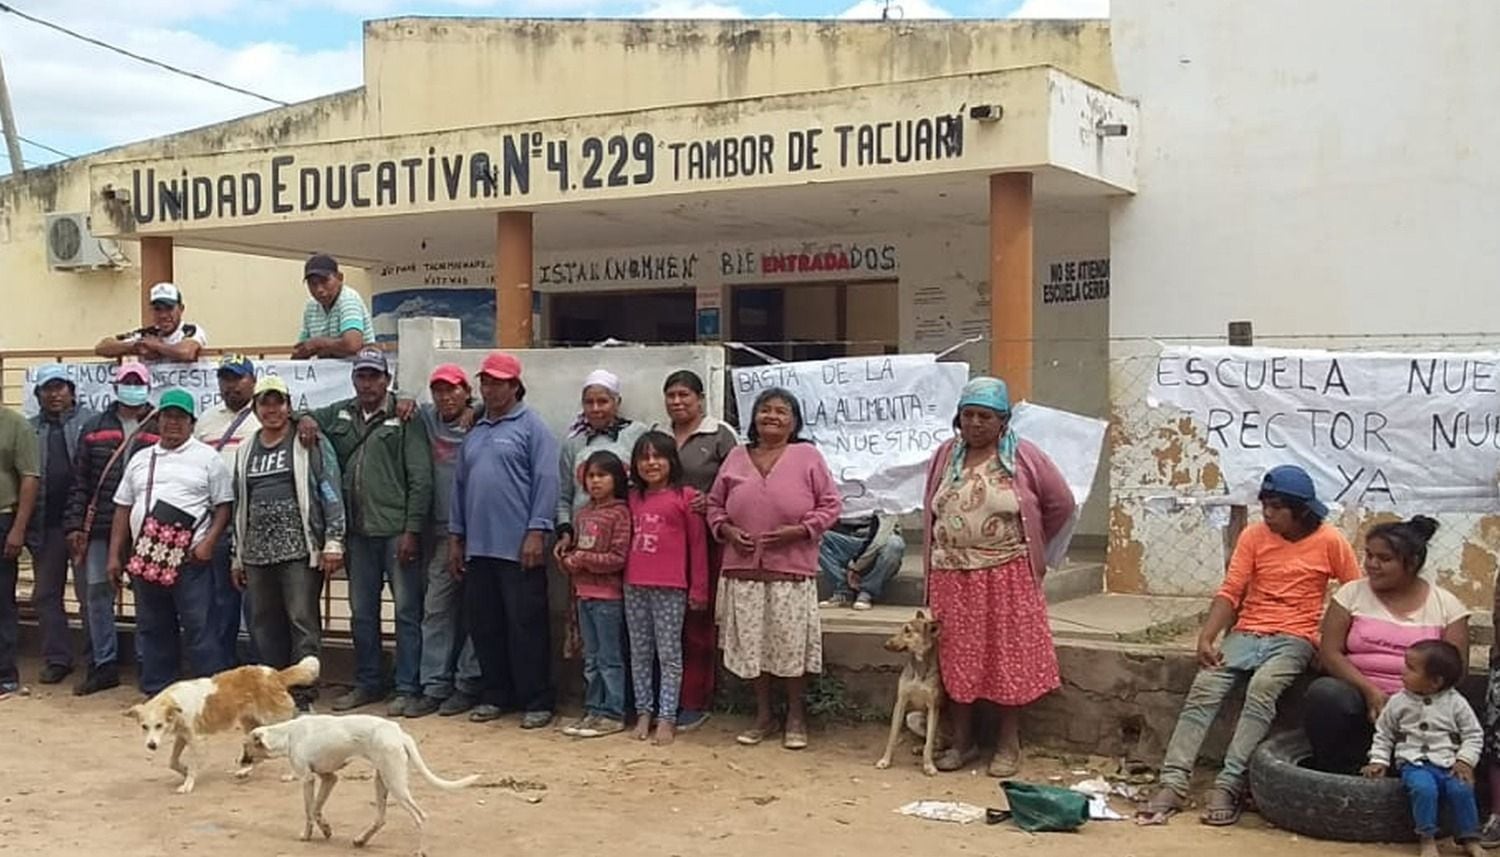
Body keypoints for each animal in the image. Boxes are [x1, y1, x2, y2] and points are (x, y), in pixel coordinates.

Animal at [125, 660, 319, 792]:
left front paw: (188, 783)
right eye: (144, 726)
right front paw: (184, 771)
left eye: (159, 725)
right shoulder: (182, 736)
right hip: (252, 727)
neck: (176, 703)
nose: (151, 745)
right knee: (258, 755)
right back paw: (245, 771)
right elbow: (172, 762)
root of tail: (276, 675)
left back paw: (292, 775)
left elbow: (193, 766)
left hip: (274, 725)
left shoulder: (196, 740)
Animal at [244, 714, 480, 852]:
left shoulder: (307, 779)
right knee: (381, 819)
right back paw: (360, 840)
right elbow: (317, 809)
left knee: (420, 816)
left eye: (245, 746)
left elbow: (309, 811)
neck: (287, 734)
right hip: (382, 781)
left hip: (396, 785)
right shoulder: (329, 778)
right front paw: (326, 829)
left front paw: (307, 835)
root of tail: (399, 733)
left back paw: (420, 851)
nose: (240, 761)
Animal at [876, 609, 942, 780]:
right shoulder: (901, 702)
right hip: (912, 717)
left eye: (908, 630)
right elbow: (892, 735)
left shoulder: (934, 707)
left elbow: (929, 743)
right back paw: (919, 748)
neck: (919, 667)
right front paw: (885, 760)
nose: (885, 645)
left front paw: (928, 765)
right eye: (901, 628)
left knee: (936, 742)